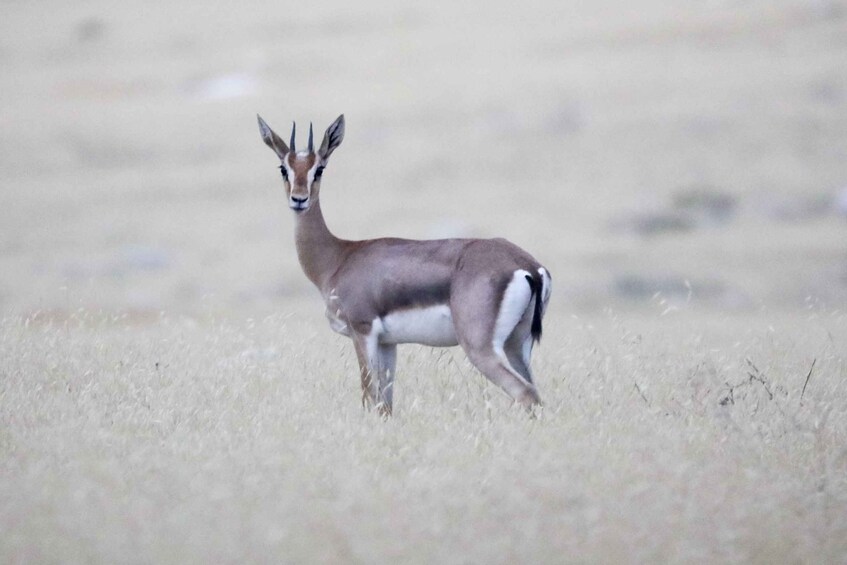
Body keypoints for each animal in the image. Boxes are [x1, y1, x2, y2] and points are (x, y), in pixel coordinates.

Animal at [257, 114, 551, 416]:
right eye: (284, 168)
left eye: (319, 169)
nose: (299, 199)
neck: (338, 257)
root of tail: (527, 266)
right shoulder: (388, 343)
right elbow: (385, 406)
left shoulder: (362, 332)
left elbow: (368, 397)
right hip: (517, 346)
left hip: (481, 348)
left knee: (526, 393)